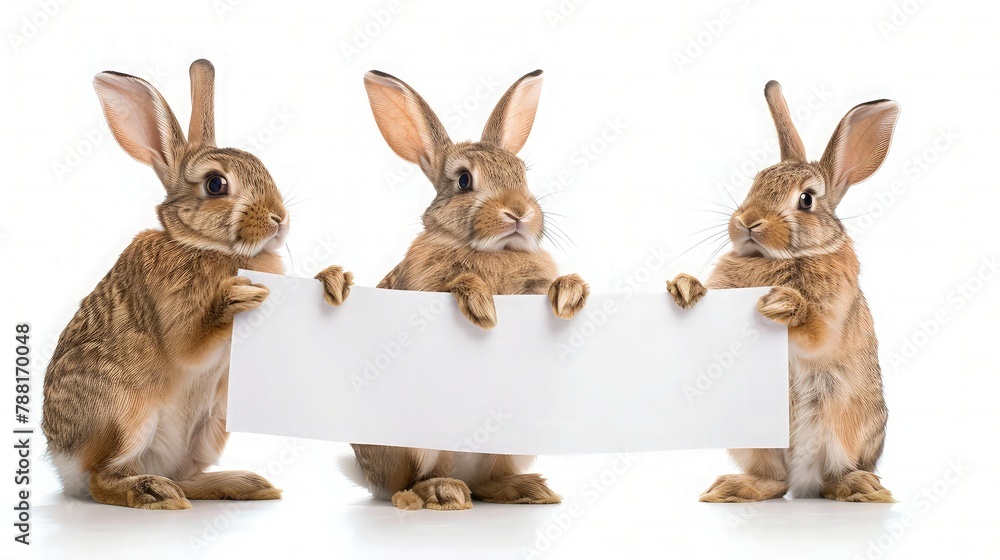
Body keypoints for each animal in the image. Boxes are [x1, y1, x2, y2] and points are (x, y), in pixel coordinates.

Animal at [43, 59, 356, 510]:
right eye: (215, 184)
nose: (279, 218)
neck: (206, 246)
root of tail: (62, 465)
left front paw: (334, 279)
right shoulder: (174, 313)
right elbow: (190, 344)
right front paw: (238, 298)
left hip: (213, 424)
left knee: (186, 476)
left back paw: (245, 484)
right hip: (124, 415)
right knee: (102, 479)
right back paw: (153, 492)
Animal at [350, 68, 588, 510]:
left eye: (523, 175)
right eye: (463, 181)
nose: (519, 212)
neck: (494, 250)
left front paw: (571, 291)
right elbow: (455, 283)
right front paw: (479, 303)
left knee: (485, 483)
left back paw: (529, 489)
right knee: (407, 484)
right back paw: (439, 492)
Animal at [668, 80, 904, 504]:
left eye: (806, 199)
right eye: (756, 182)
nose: (748, 221)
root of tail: (802, 480)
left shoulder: (832, 314)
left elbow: (816, 332)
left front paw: (782, 303)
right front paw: (684, 285)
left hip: (842, 431)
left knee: (830, 479)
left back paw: (861, 487)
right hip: (754, 440)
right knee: (775, 481)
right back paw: (733, 488)